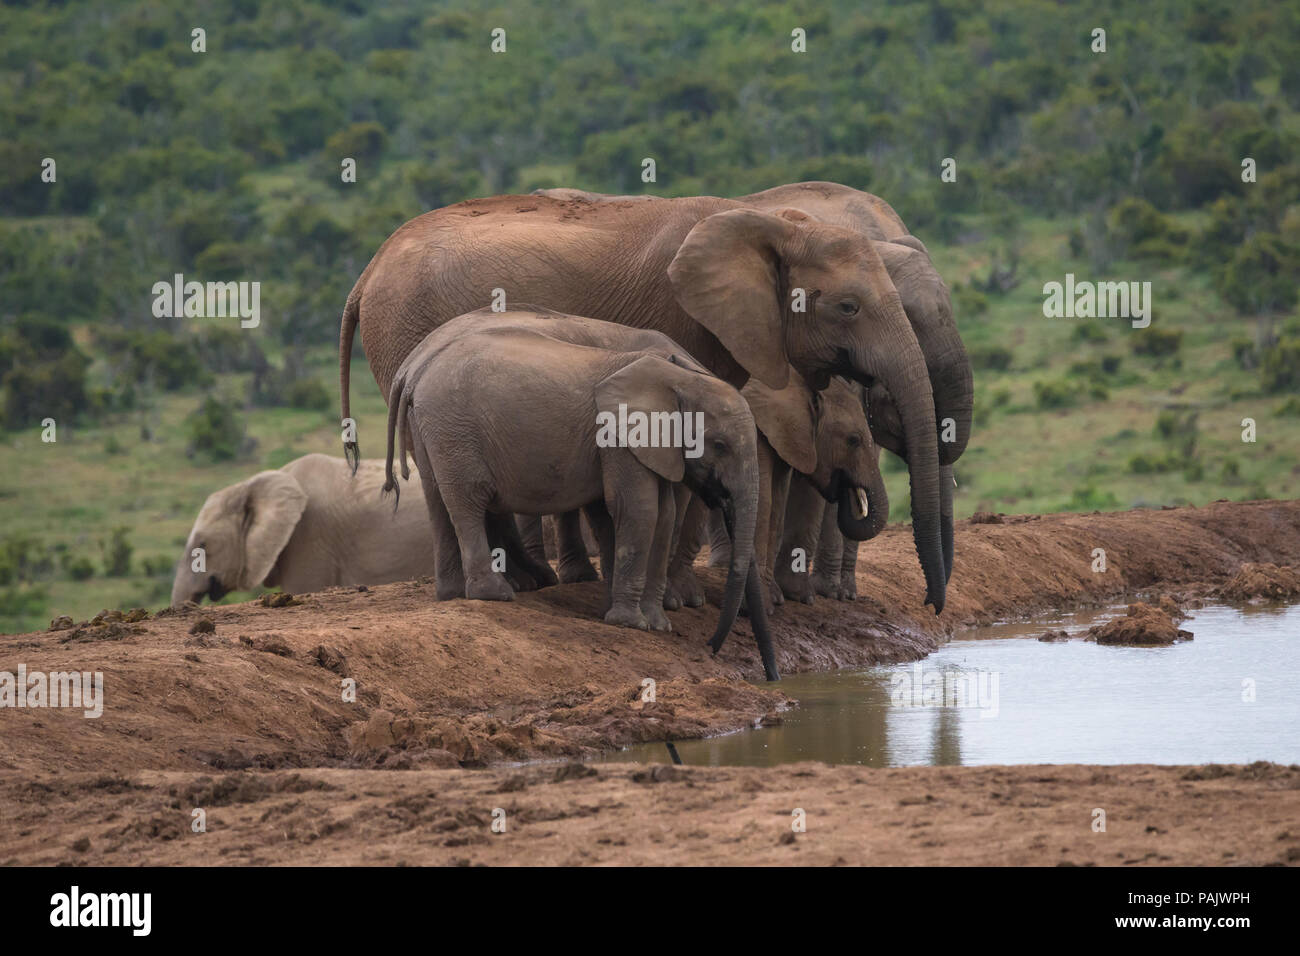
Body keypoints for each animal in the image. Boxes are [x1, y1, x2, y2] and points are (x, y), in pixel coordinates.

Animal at [340, 191, 951, 616]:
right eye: (848, 307)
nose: (932, 605)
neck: (770, 222)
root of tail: (365, 272)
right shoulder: (681, 315)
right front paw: (683, 601)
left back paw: (528, 580)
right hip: (404, 330)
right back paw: (516, 584)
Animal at [379, 310, 774, 686]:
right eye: (720, 445)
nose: (712, 647)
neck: (678, 379)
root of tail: (413, 372)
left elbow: (661, 515)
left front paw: (655, 624)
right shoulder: (620, 437)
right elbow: (639, 510)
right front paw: (630, 623)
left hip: (432, 429)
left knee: (438, 500)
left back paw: (452, 593)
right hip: (454, 431)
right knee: (469, 501)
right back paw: (497, 594)